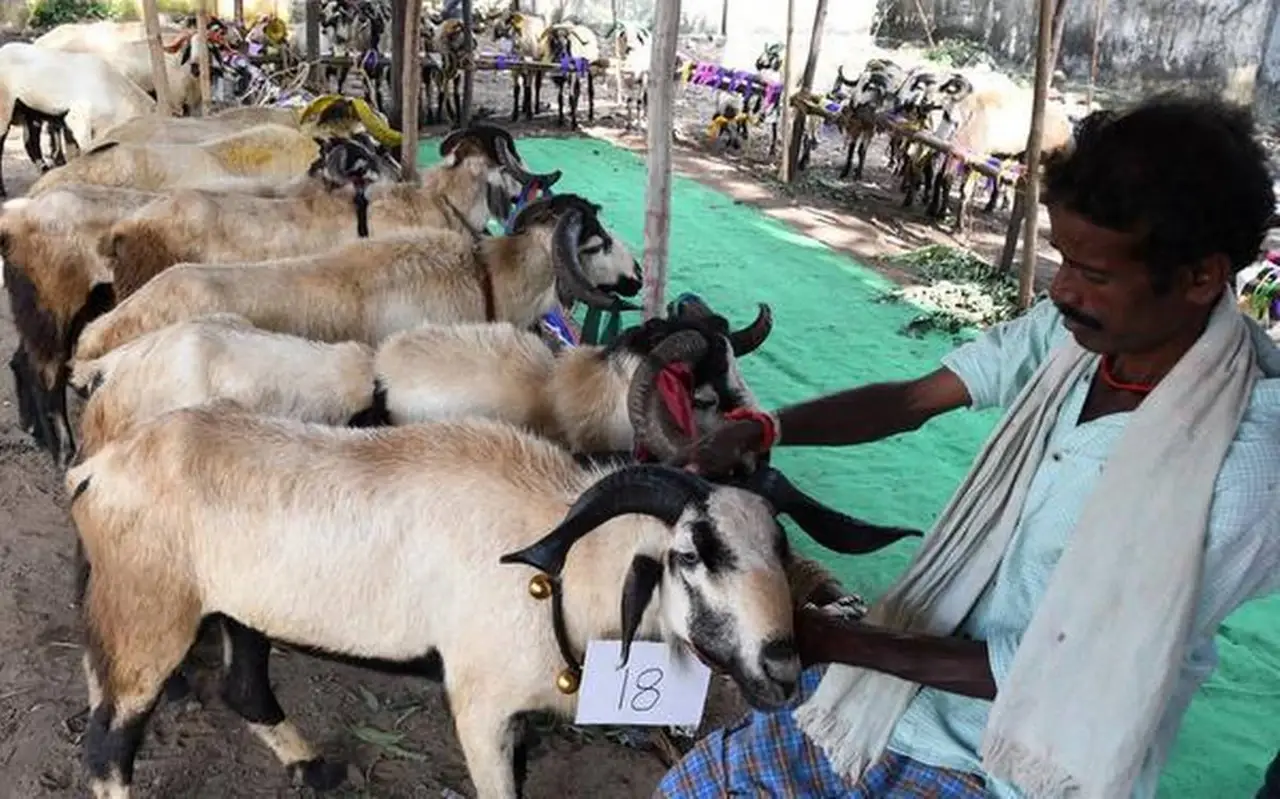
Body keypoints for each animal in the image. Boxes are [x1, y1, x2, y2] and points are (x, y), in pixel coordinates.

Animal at [0, 42, 158, 197]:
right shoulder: (78, 117)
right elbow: (88, 150)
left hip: (30, 111)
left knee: (31, 143)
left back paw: (45, 171)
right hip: (5, 107)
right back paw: (3, 191)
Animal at [67, 402, 808, 793]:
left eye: (782, 550)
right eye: (690, 555)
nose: (782, 667)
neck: (567, 563)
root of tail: (98, 468)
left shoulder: (517, 713)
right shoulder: (480, 705)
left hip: (231, 608)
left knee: (239, 690)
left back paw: (314, 765)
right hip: (149, 609)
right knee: (108, 741)